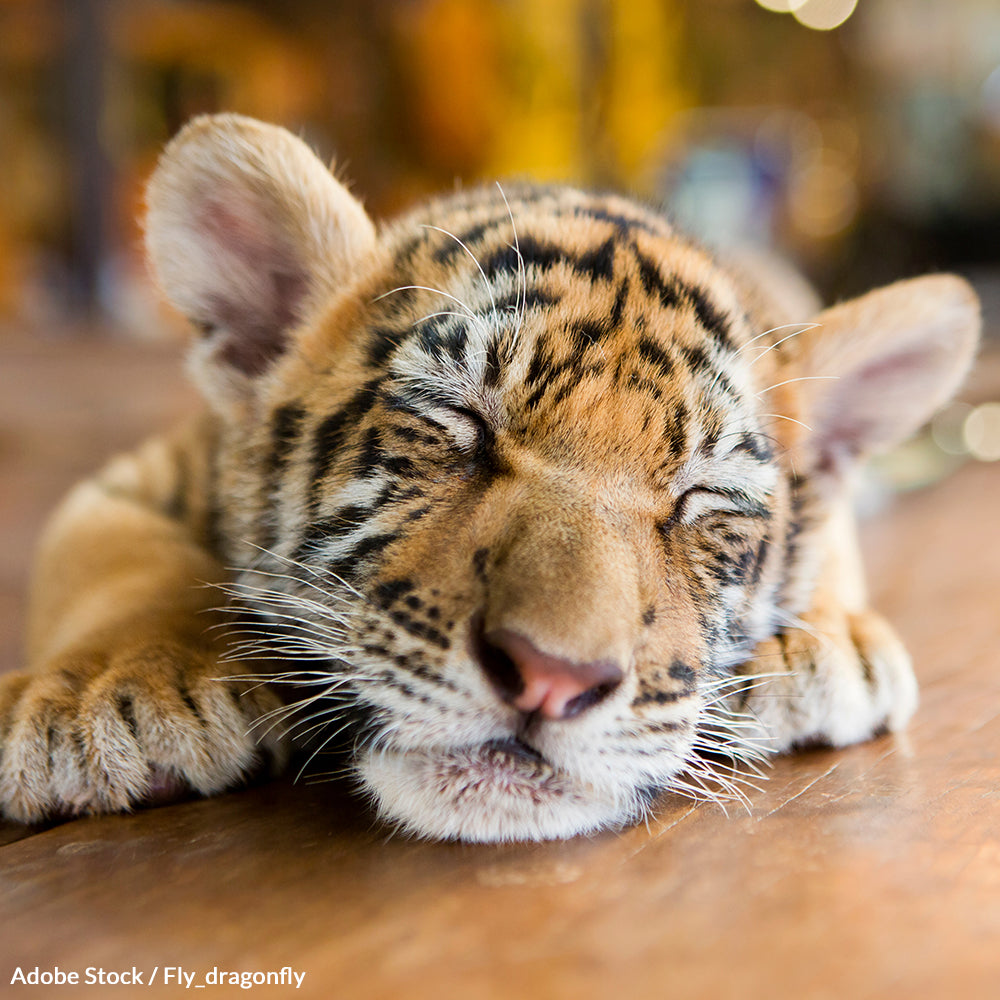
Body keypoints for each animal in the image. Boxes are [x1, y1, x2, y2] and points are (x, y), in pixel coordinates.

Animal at [0, 114, 979, 842]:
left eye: (700, 500)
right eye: (462, 424)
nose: (552, 678)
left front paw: (825, 643)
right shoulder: (133, 478)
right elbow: (118, 562)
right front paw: (107, 696)